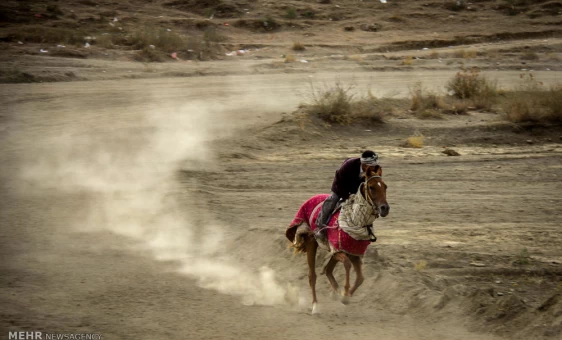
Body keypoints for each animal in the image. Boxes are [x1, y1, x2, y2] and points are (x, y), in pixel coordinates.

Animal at [286, 165, 388, 314]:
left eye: (385, 186)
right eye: (372, 187)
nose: (385, 208)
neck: (355, 220)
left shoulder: (352, 253)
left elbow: (361, 278)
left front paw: (346, 295)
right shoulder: (339, 250)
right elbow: (347, 265)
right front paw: (345, 294)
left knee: (328, 270)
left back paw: (334, 291)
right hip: (312, 243)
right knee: (312, 276)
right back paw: (315, 305)